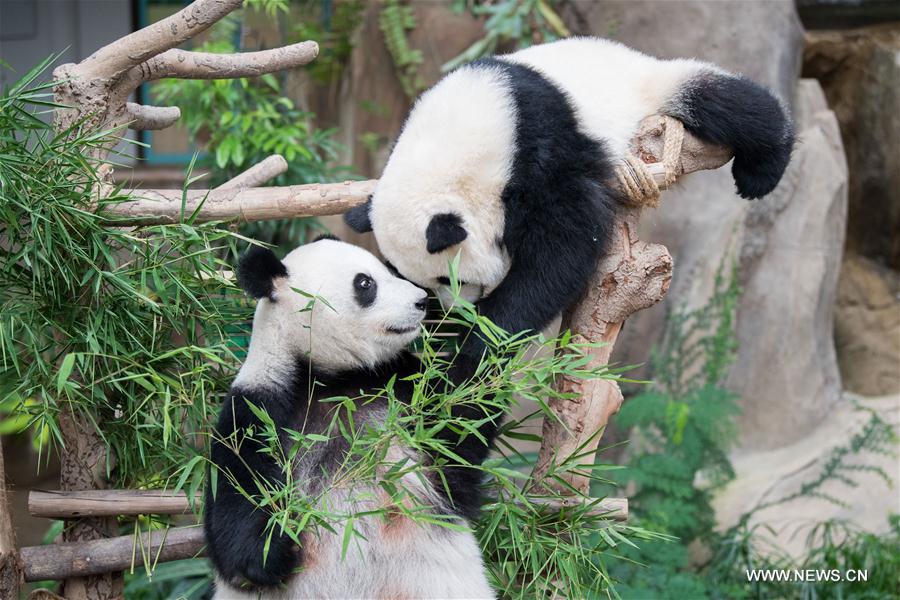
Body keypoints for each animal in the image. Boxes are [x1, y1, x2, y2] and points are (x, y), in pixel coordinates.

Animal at [206, 237, 492, 596]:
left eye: (390, 269)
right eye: (365, 283)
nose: (421, 301)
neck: (331, 379)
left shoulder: (404, 390)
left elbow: (460, 430)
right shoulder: (258, 410)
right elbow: (234, 511)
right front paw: (280, 545)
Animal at [344, 38, 796, 366]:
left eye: (446, 278)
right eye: (426, 284)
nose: (460, 309)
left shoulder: (538, 147)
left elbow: (565, 245)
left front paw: (486, 333)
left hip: (648, 87)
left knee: (729, 103)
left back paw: (762, 169)